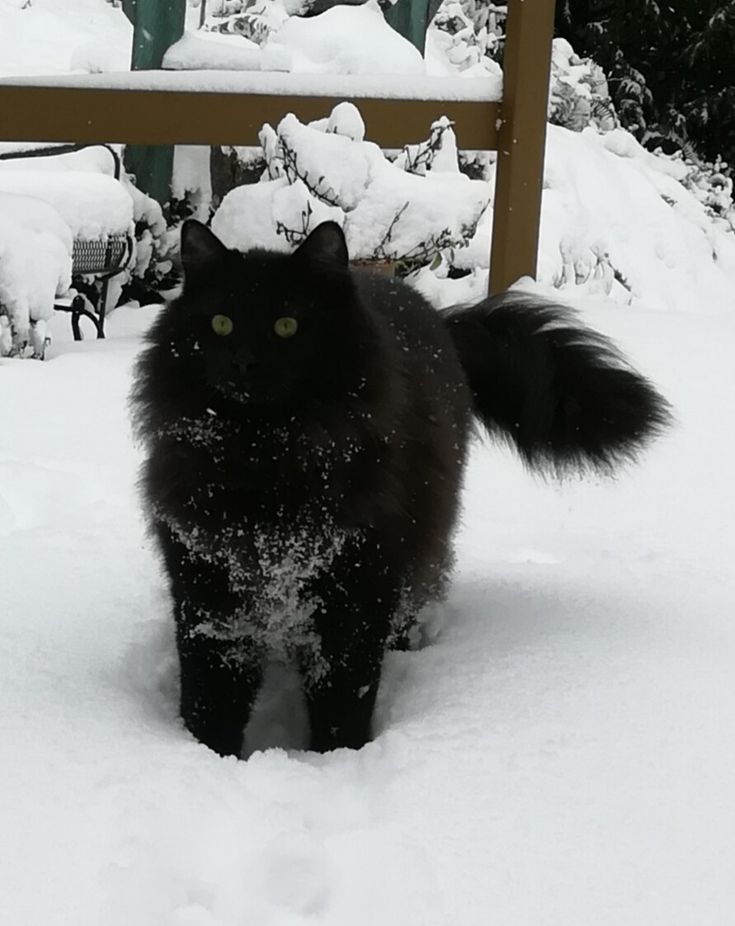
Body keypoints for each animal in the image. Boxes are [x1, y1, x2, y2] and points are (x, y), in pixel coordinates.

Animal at [132, 221, 672, 756]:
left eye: (287, 326)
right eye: (220, 324)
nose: (244, 363)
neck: (266, 463)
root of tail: (439, 316)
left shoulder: (357, 595)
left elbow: (343, 707)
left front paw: (336, 763)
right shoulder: (208, 593)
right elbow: (210, 705)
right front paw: (203, 760)